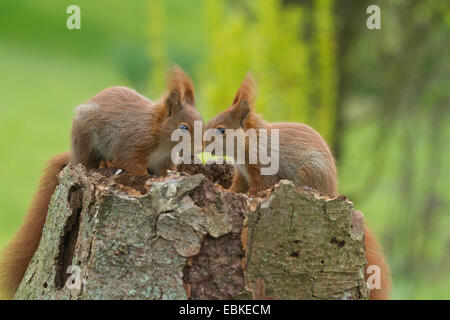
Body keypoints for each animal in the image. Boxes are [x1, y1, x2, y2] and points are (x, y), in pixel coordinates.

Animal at [0, 65, 201, 298]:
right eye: (183, 127)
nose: (199, 148)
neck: (161, 139)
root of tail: (74, 156)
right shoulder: (131, 142)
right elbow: (130, 162)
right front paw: (146, 176)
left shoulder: (164, 161)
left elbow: (164, 170)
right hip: (85, 139)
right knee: (90, 162)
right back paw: (104, 162)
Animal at [206, 75, 392, 300]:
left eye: (221, 130)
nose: (200, 141)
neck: (250, 142)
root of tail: (332, 191)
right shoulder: (243, 174)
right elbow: (237, 186)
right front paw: (225, 190)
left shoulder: (264, 169)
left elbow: (261, 186)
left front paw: (251, 196)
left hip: (308, 173)